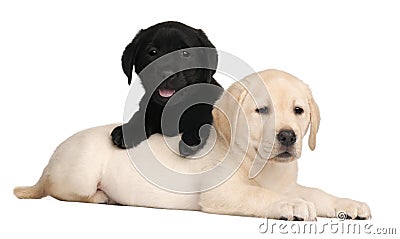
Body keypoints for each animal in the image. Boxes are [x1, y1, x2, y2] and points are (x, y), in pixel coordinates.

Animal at [15, 68, 372, 220]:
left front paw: (348, 204)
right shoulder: (222, 192)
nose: (287, 136)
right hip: (80, 175)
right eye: (261, 110)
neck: (260, 164)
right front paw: (292, 206)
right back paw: (103, 197)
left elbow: (317, 193)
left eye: (299, 111)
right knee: (62, 191)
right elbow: (261, 196)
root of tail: (48, 163)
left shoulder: (288, 183)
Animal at [111, 21, 222, 156]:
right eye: (153, 52)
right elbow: (141, 116)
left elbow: (201, 117)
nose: (166, 74)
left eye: (185, 53)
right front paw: (127, 130)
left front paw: (190, 141)